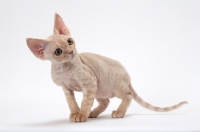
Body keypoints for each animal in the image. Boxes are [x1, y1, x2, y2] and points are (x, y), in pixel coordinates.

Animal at [26, 13, 188, 122]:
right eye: (58, 52)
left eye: (70, 41)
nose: (71, 51)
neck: (64, 69)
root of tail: (127, 74)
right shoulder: (66, 88)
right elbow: (71, 102)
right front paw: (75, 113)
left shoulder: (89, 83)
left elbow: (85, 102)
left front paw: (82, 115)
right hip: (99, 88)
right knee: (105, 101)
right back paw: (94, 113)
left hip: (113, 86)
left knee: (128, 95)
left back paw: (118, 112)